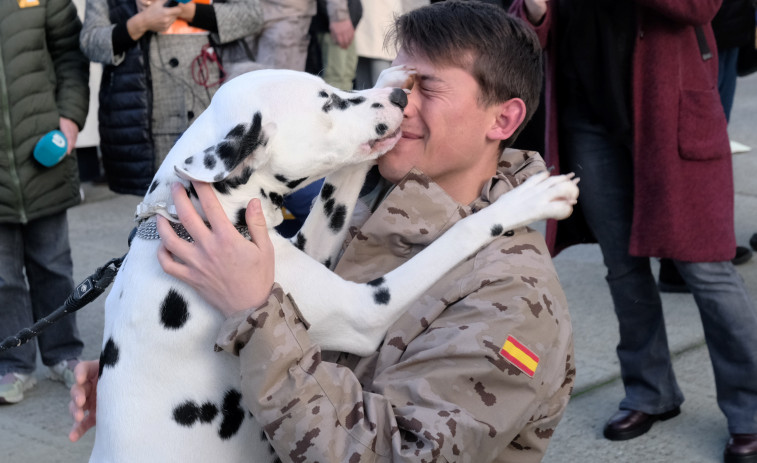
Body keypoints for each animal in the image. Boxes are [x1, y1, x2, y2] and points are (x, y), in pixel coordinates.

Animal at [91, 66, 580, 463]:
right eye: (326, 102)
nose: (400, 98)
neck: (195, 216)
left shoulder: (312, 244)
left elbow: (342, 183)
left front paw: (390, 75)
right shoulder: (365, 311)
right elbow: (462, 231)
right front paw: (528, 200)